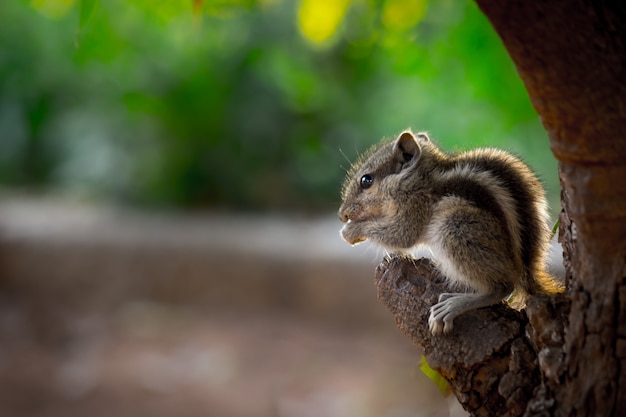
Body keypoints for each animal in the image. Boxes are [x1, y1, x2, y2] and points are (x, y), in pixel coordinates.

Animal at [338, 130, 564, 334]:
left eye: (366, 180)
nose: (342, 214)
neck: (419, 177)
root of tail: (524, 271)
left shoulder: (415, 205)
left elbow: (402, 235)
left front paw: (350, 230)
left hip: (455, 227)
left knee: (503, 286)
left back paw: (453, 306)